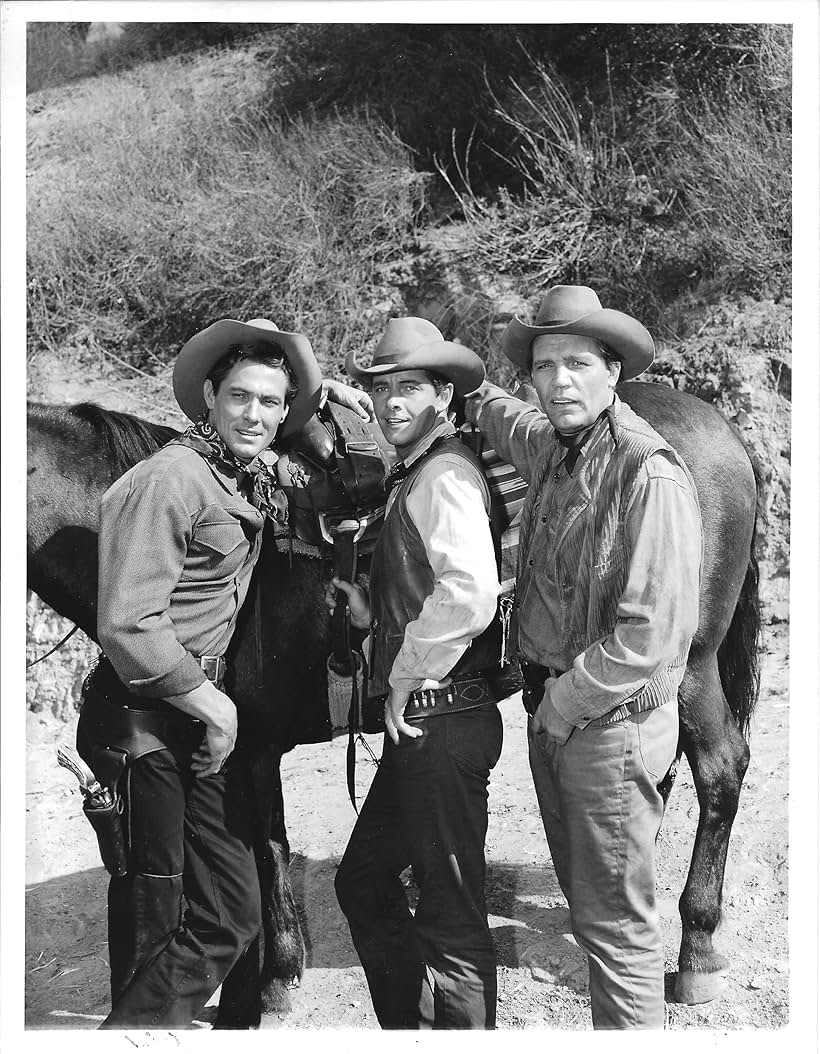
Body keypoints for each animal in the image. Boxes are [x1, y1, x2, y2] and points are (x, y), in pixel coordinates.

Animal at [28, 385, 758, 1020]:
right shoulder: (246, 754)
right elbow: (261, 850)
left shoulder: (251, 748)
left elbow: (266, 853)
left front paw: (274, 980)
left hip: (688, 664)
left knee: (720, 770)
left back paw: (696, 950)